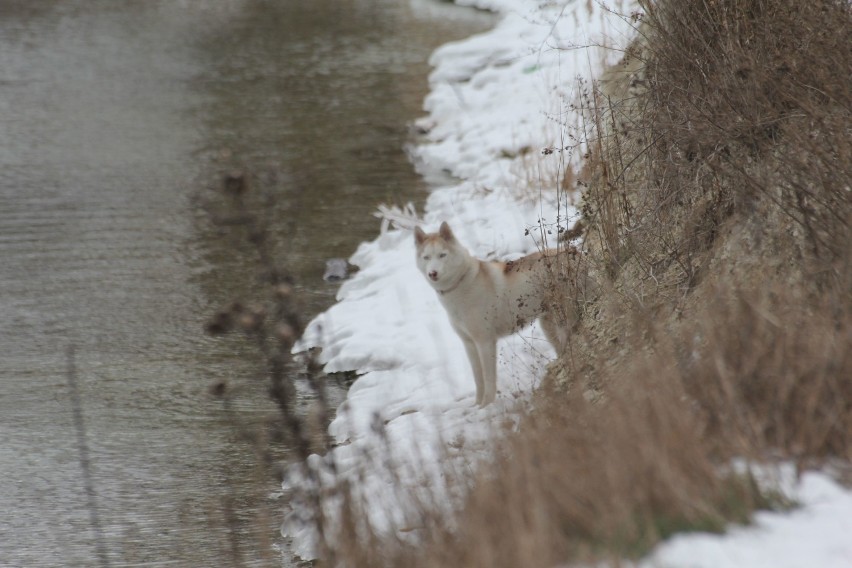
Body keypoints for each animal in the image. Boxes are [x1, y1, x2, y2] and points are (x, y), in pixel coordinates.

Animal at [416, 221, 588, 404]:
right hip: (548, 325)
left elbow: (489, 379)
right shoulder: (469, 344)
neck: (459, 285)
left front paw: (488, 403)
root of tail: (576, 254)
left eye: (442, 255)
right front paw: (479, 406)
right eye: (426, 257)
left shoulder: (485, 342)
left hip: (562, 320)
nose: (432, 273)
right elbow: (478, 380)